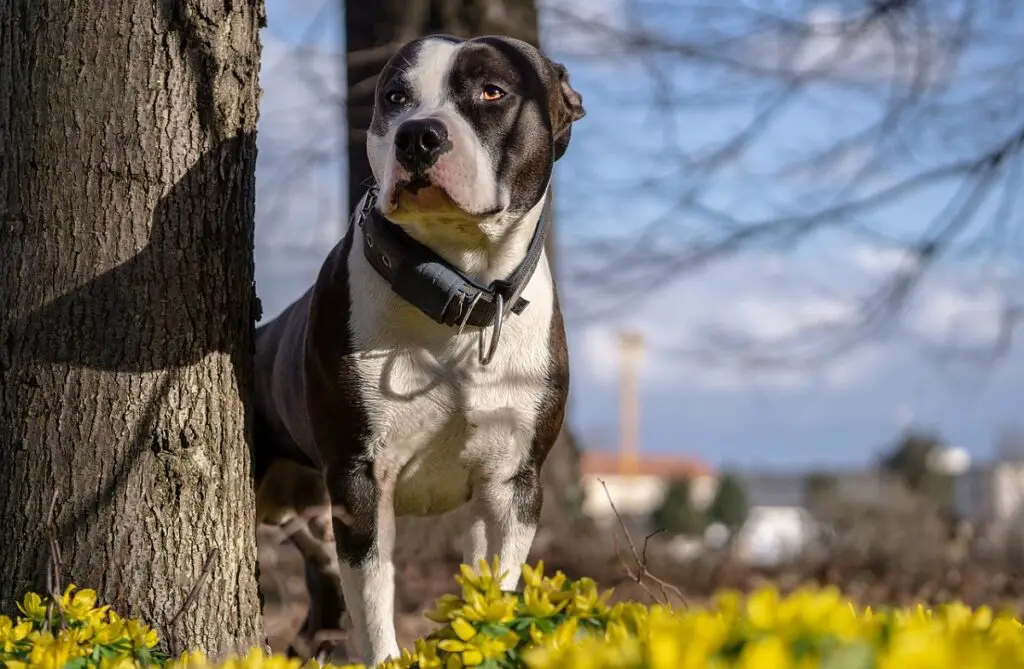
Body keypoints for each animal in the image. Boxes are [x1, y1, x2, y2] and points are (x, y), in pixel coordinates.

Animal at [250, 35, 585, 663]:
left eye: (492, 92)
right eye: (394, 98)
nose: (418, 134)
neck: (458, 293)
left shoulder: (511, 485)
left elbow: (494, 586)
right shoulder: (361, 480)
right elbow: (376, 605)